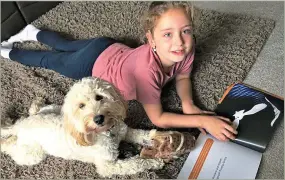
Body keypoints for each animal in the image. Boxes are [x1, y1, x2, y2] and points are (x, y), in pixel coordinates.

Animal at [1, 77, 163, 177]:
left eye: (99, 97)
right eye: (81, 106)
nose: (98, 118)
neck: (106, 132)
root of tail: (21, 125)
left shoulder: (125, 131)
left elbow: (140, 134)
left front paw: (157, 137)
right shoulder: (107, 166)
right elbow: (134, 163)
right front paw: (154, 162)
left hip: (54, 108)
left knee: (35, 111)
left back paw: (36, 104)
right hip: (33, 154)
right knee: (11, 147)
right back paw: (5, 142)